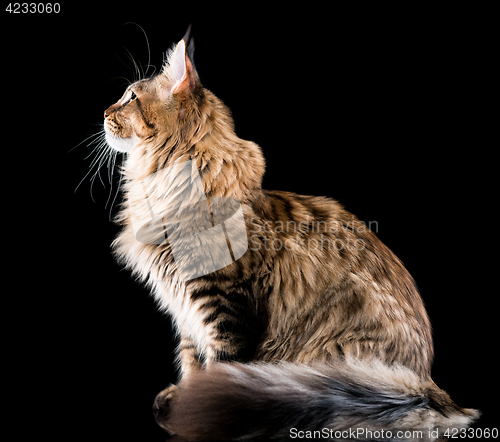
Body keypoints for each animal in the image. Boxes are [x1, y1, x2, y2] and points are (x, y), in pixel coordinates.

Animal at [102, 29, 480, 440]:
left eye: (131, 97)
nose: (104, 112)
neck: (166, 187)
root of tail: (426, 388)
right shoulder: (187, 311)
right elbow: (191, 364)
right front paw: (184, 402)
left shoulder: (224, 304)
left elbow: (217, 367)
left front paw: (197, 412)